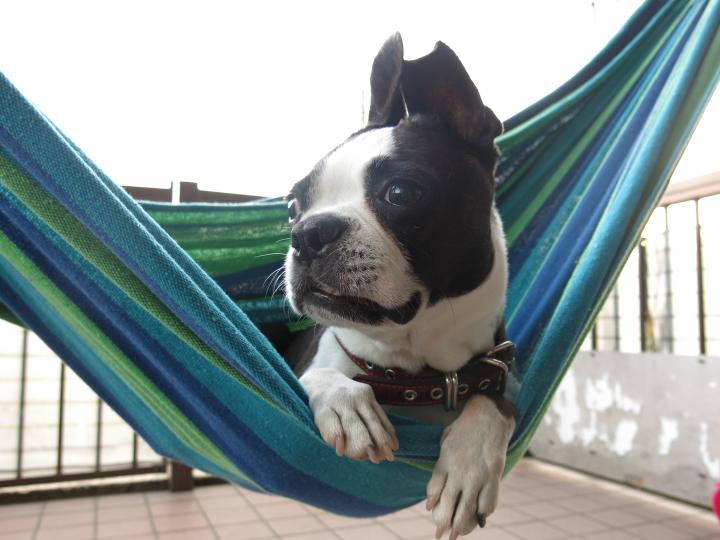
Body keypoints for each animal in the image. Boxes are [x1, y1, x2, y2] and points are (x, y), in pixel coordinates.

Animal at [282, 34, 517, 540]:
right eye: (292, 207)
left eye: (401, 193)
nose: (307, 233)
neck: (415, 371)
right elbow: (321, 375)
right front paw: (349, 405)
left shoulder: (497, 368)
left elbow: (494, 407)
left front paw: (467, 469)